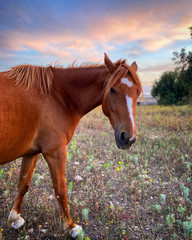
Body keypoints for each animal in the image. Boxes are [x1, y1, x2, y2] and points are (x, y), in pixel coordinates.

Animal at [0, 54, 142, 238]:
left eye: (137, 92)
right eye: (112, 89)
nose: (128, 138)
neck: (57, 96)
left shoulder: (32, 153)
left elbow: (23, 184)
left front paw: (15, 218)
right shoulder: (56, 152)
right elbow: (61, 190)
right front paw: (71, 227)